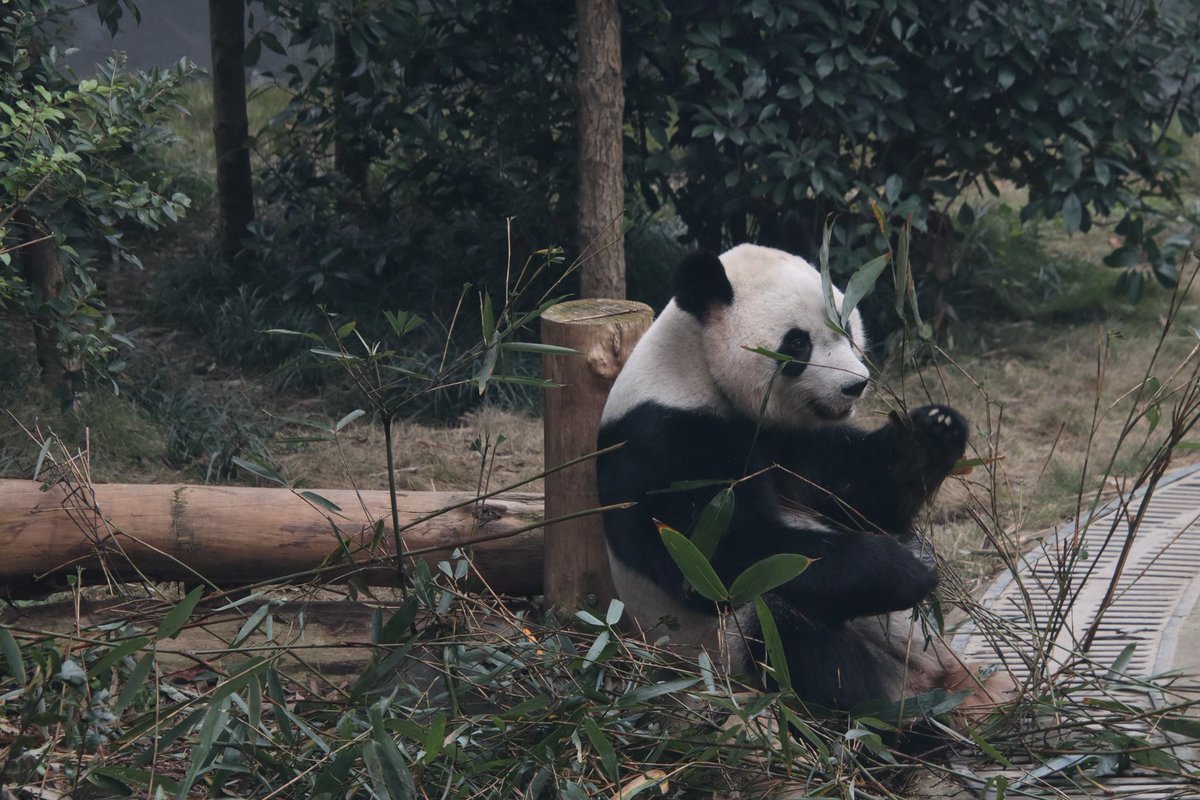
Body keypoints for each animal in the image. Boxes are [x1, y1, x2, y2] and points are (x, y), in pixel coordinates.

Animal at [597, 243, 1006, 715]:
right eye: (797, 342)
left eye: (847, 327)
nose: (855, 386)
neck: (700, 369)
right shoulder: (664, 441)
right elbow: (718, 552)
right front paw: (903, 570)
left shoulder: (798, 439)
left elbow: (862, 496)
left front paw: (933, 433)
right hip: (723, 650)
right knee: (785, 625)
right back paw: (888, 716)